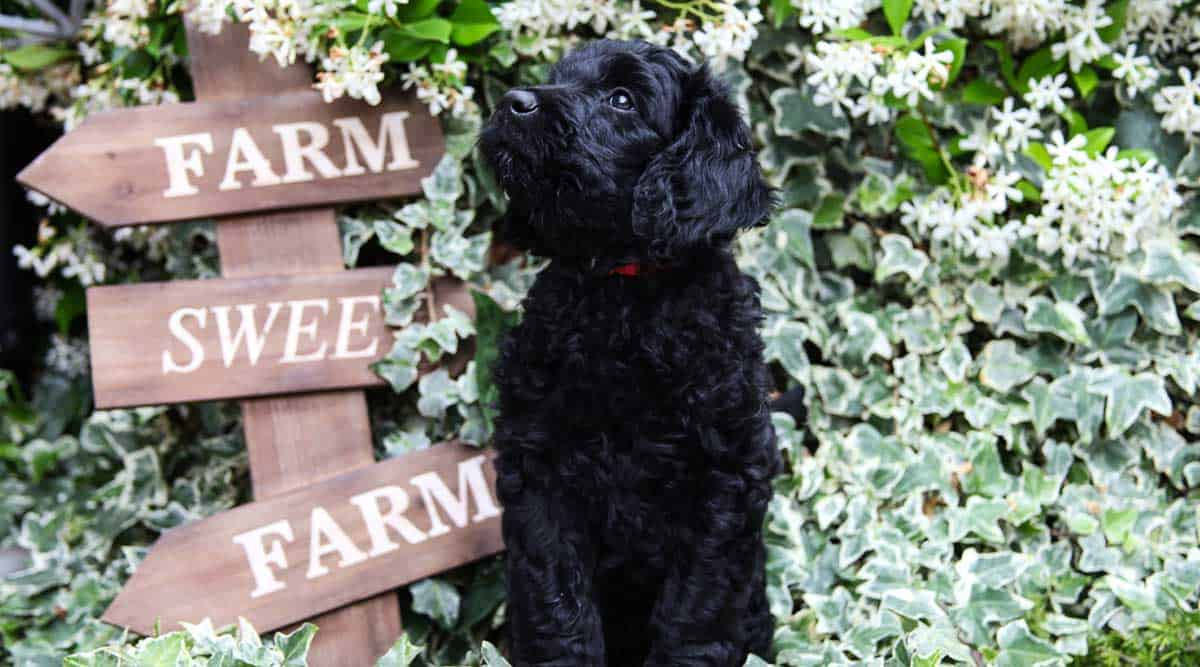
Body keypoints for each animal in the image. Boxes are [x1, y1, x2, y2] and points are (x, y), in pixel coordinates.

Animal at [477, 40, 777, 667]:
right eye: (557, 77)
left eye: (622, 100)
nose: (513, 101)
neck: (621, 295)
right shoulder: (539, 474)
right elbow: (557, 606)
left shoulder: (723, 484)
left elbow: (695, 615)